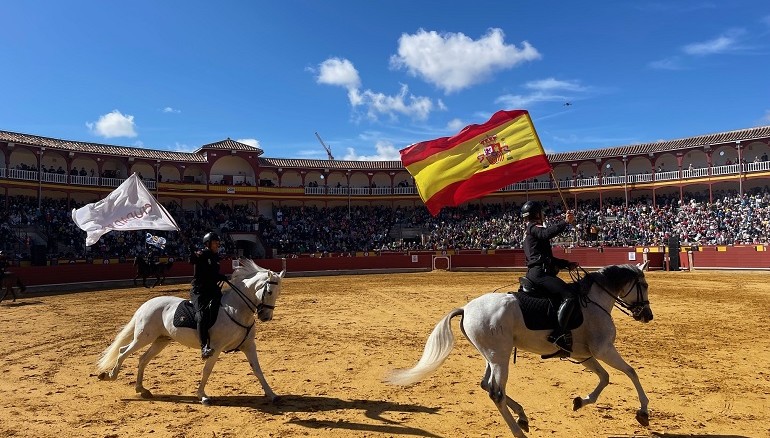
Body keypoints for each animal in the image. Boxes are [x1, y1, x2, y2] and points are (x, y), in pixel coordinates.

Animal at [95, 258, 284, 406]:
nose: (266, 317)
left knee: (142, 359)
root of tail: (147, 304)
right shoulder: (215, 348)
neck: (236, 309)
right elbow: (207, 370)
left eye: (278, 293)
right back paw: (110, 375)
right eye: (268, 291)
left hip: (160, 340)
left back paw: (142, 389)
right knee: (123, 351)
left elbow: (257, 370)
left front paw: (272, 395)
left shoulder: (248, 346)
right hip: (143, 337)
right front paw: (203, 396)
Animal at [388, 262, 652, 436]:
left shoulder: (584, 354)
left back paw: (523, 417)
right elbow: (631, 372)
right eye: (644, 285)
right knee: (497, 393)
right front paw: (643, 412)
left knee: (487, 385)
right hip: (500, 358)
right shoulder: (603, 349)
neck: (594, 301)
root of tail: (466, 308)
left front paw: (581, 401)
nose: (647, 316)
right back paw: (518, 430)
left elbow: (605, 377)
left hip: (492, 356)